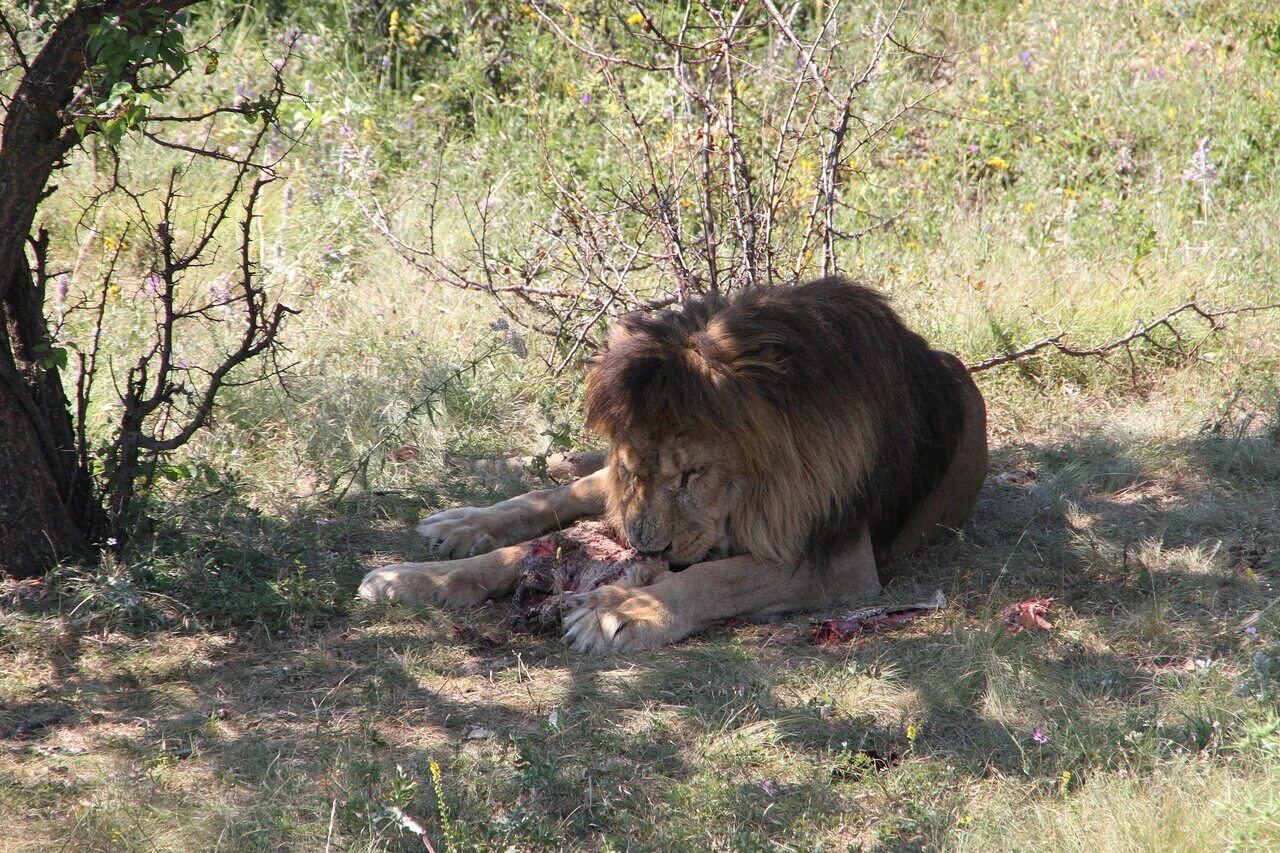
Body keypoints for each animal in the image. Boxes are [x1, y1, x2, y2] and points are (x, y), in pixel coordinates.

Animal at [360, 277, 988, 650]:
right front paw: (417, 578)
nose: (645, 550)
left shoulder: (837, 557)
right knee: (560, 495)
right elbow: (529, 549)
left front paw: (621, 611)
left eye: (692, 474)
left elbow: (718, 578)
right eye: (635, 469)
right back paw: (460, 526)